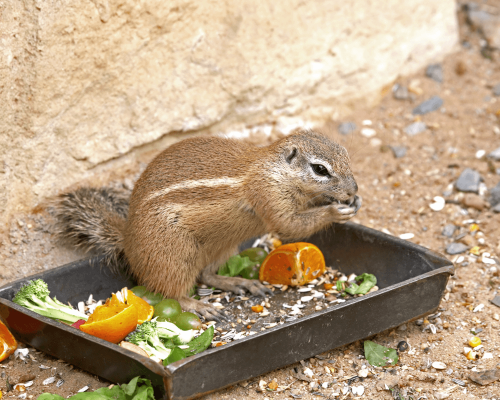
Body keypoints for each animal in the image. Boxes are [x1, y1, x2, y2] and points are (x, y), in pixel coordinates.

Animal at [53, 130, 360, 320]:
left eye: (347, 155)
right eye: (320, 169)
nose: (353, 189)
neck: (275, 170)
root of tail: (127, 243)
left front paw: (352, 202)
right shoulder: (268, 195)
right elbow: (290, 225)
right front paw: (334, 211)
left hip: (223, 247)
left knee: (206, 275)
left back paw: (239, 282)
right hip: (175, 255)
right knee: (173, 292)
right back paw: (200, 306)